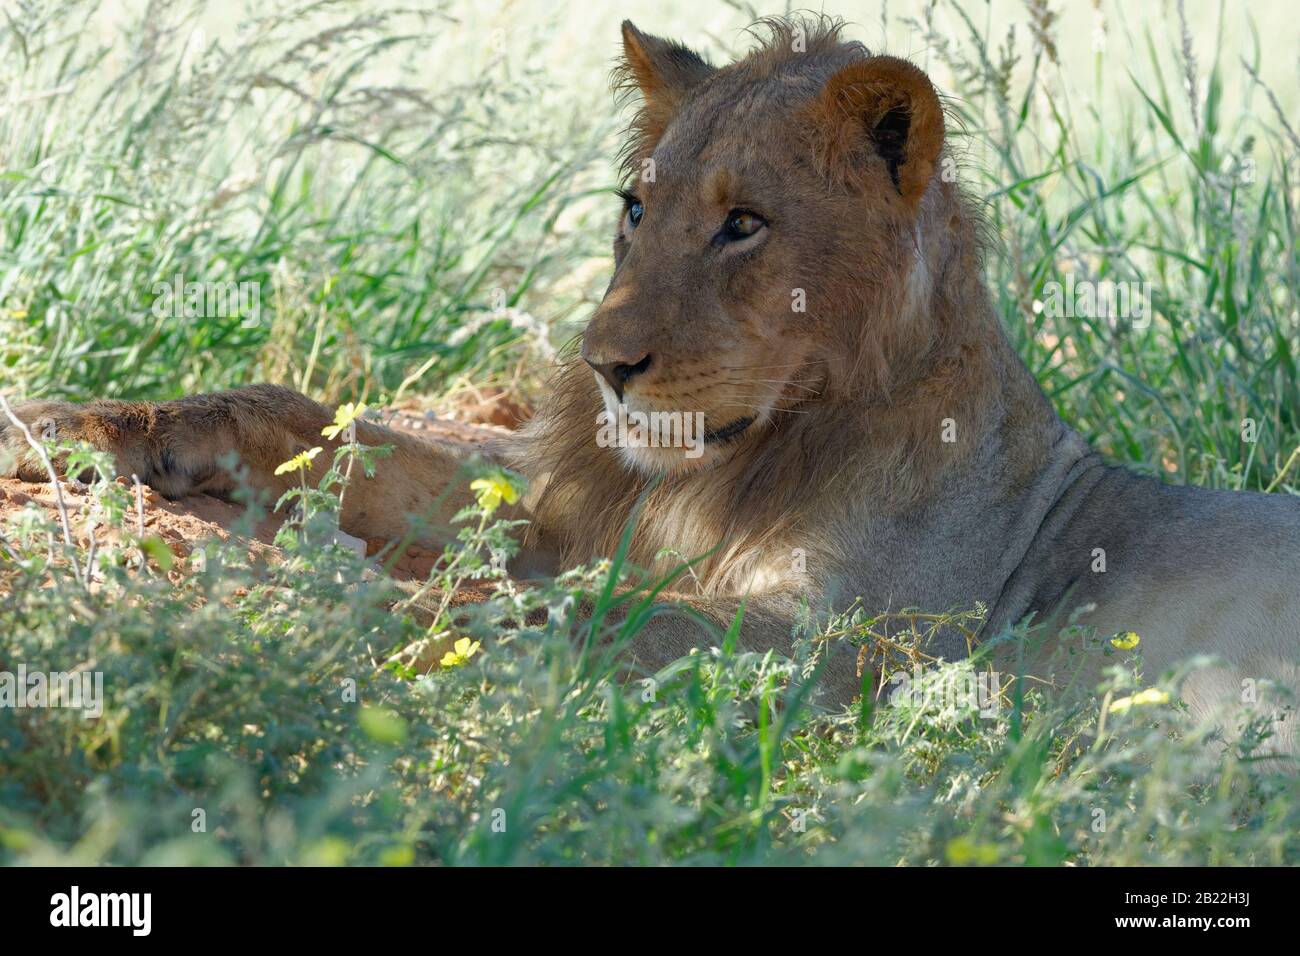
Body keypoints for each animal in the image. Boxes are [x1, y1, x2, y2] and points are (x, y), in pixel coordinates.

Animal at [5, 13, 1294, 749]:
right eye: (636, 208)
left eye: (744, 224)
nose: (603, 362)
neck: (731, 466)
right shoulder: (555, 508)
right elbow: (326, 428)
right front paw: (73, 424)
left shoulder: (840, 643)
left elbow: (572, 617)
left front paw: (345, 617)